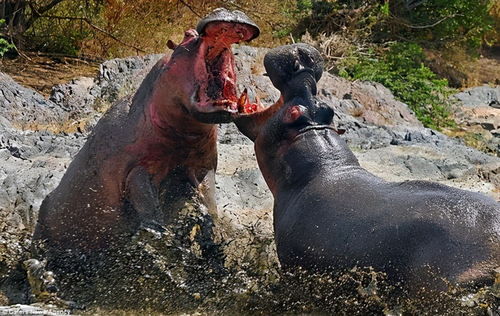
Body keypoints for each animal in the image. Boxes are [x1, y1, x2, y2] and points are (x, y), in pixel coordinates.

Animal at [32, 8, 264, 258]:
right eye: (187, 34)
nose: (230, 11)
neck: (182, 135)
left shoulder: (202, 165)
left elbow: (209, 204)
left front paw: (214, 236)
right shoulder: (136, 168)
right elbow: (148, 204)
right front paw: (159, 238)